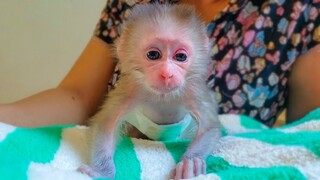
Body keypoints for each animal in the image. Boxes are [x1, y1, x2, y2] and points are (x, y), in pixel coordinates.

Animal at [79, 2, 221, 179]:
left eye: (180, 57)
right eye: (153, 54)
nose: (167, 74)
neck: (162, 96)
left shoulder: (192, 90)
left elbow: (209, 127)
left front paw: (190, 163)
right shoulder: (131, 88)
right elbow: (106, 124)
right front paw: (101, 171)